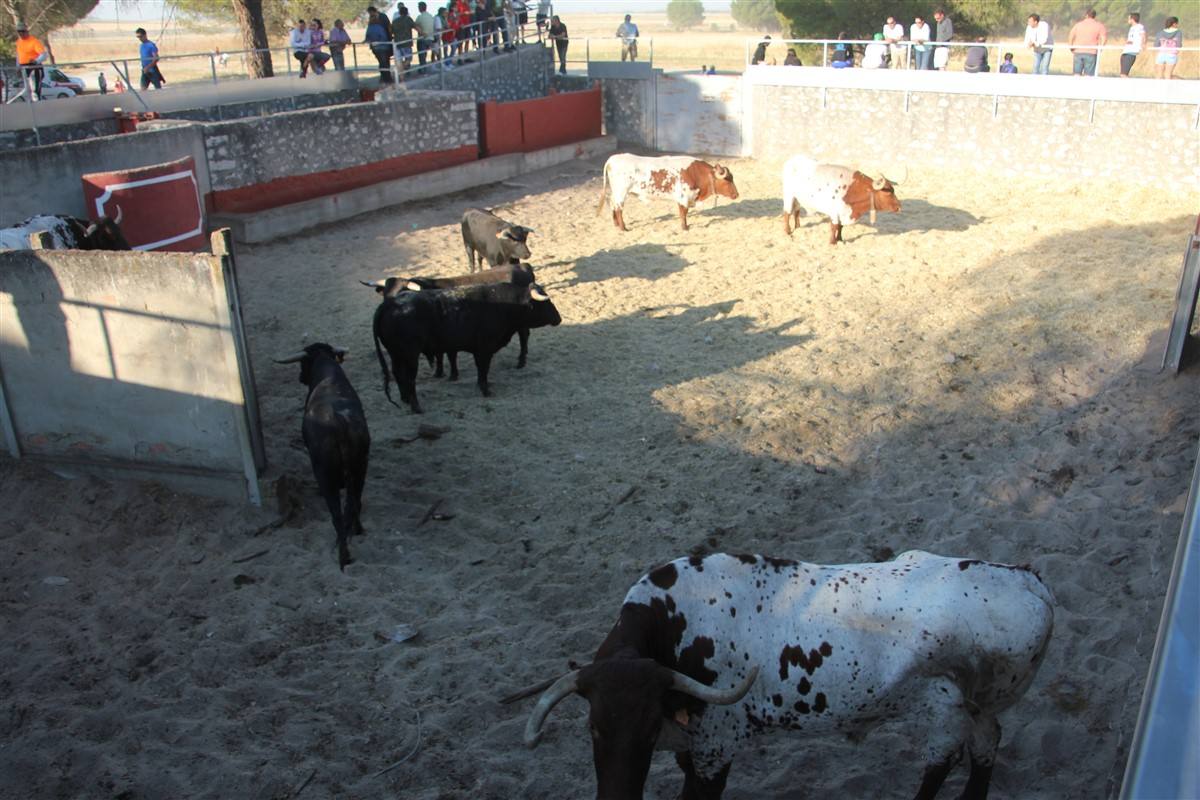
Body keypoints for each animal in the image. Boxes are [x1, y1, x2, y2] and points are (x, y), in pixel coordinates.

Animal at [276, 345, 369, 568]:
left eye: (303, 363)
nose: (300, 377)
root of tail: (340, 422)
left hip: (325, 476)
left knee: (337, 515)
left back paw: (343, 555)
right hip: (361, 469)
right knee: (355, 503)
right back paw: (357, 531)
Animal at [511, 551, 1056, 800]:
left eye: (646, 731)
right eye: (593, 728)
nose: (618, 796)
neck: (669, 623)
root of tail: (1028, 579)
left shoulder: (716, 749)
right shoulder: (692, 745)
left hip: (946, 710)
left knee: (942, 760)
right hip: (981, 704)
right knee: (985, 747)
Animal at [595, 152, 734, 231]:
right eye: (727, 179)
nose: (736, 194)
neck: (695, 173)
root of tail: (612, 159)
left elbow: (683, 213)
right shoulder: (683, 197)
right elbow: (683, 213)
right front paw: (685, 227)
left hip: (616, 192)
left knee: (612, 204)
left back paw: (616, 224)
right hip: (621, 192)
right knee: (619, 208)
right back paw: (623, 228)